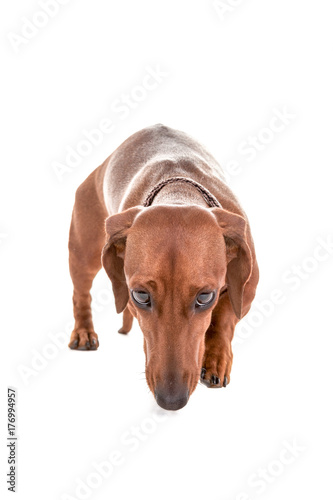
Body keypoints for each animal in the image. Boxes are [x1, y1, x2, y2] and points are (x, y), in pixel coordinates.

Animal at [68, 124, 260, 410]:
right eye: (140, 295)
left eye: (206, 297)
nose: (171, 400)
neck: (178, 191)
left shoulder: (246, 291)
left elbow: (223, 319)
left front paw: (216, 359)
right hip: (83, 254)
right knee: (80, 294)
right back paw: (83, 332)